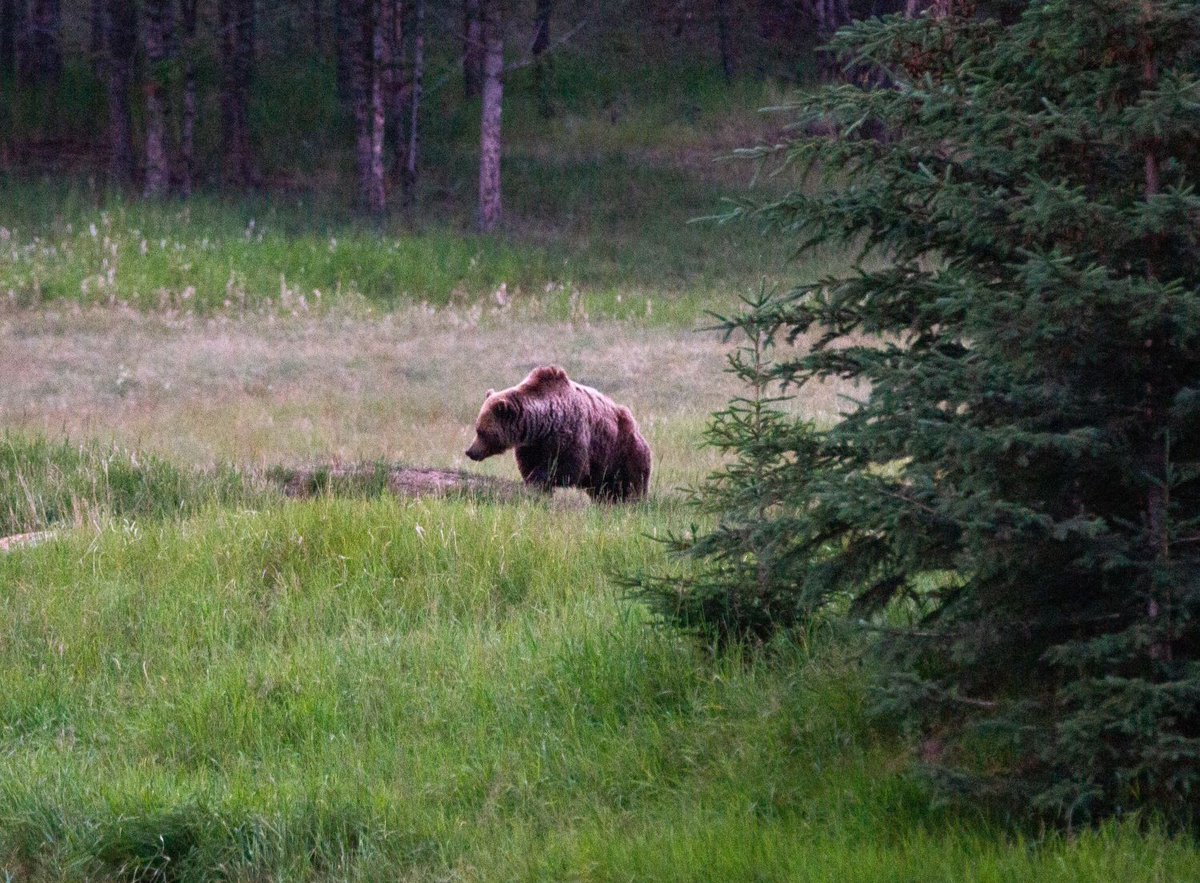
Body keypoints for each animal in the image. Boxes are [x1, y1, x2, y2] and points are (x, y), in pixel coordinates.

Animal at [465, 367, 652, 503]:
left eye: (481, 431)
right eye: (477, 428)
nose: (470, 451)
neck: (541, 425)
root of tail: (638, 430)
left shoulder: (570, 435)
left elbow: (569, 467)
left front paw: (539, 480)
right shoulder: (532, 445)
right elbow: (529, 465)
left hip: (622, 454)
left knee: (631, 485)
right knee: (603, 491)